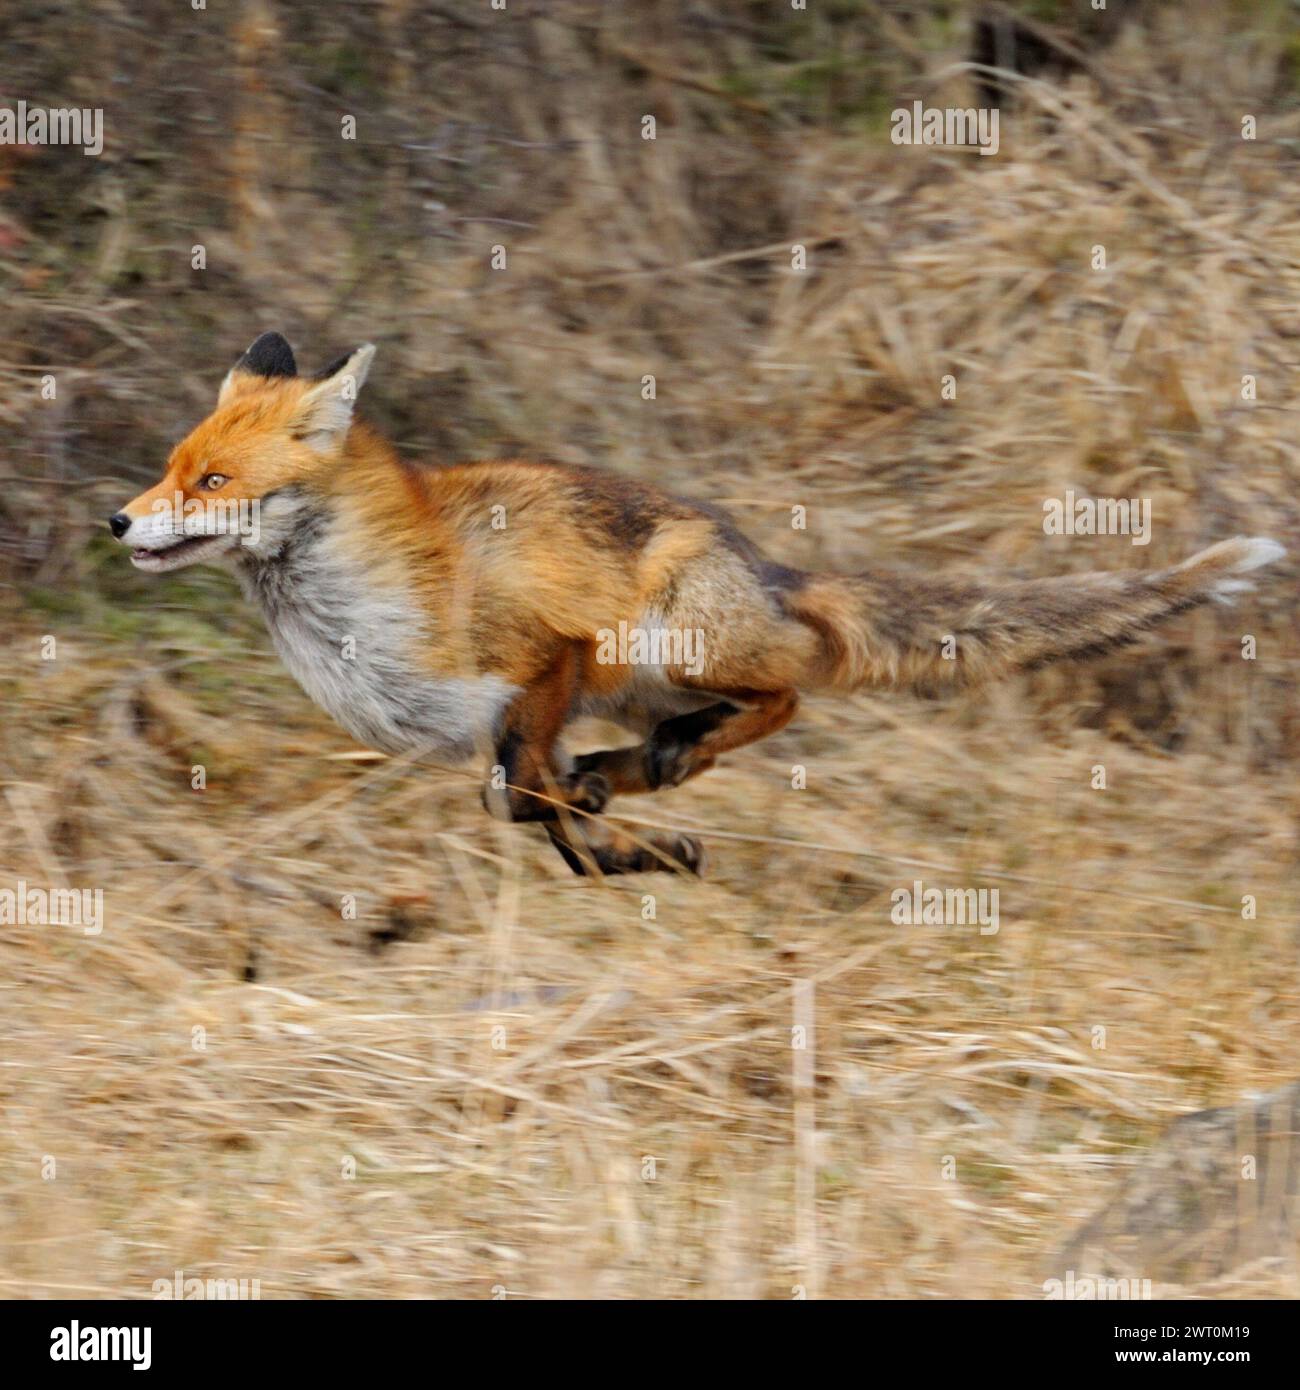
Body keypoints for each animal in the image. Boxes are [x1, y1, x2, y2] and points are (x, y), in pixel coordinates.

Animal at [114, 334, 1290, 872]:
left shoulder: (549, 656)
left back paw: (668, 760)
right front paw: (615, 844)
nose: (117, 522)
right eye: (171, 470)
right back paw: (644, 768)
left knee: (795, 684)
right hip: (646, 680)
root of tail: (763, 561)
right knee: (712, 721)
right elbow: (522, 804)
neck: (355, 614)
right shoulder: (498, 727)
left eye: (212, 483)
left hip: (667, 641)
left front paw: (630, 848)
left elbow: (526, 794)